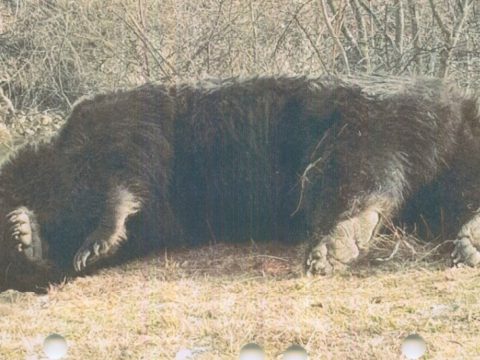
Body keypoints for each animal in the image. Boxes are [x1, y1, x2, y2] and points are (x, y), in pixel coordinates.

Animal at [0, 74, 480, 292]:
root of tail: (457, 105)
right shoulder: (164, 217)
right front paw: (26, 234)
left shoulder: (120, 125)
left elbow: (126, 173)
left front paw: (89, 237)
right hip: (438, 160)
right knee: (444, 194)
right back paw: (467, 241)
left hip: (369, 119)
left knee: (359, 170)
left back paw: (334, 246)